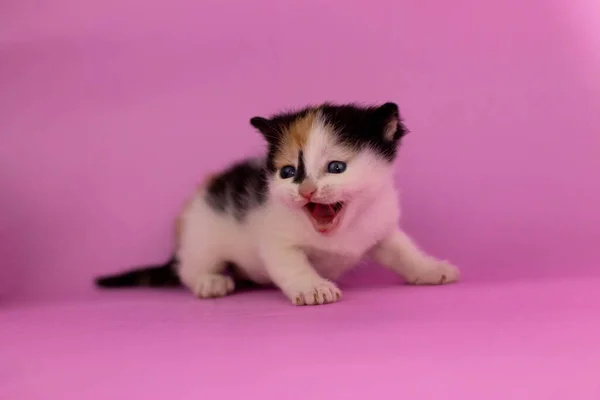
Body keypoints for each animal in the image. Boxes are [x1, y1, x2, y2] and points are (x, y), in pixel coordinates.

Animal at [95, 101, 460, 304]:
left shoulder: (380, 224)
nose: (307, 191)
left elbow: (402, 250)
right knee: (190, 265)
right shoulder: (274, 238)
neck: (339, 233)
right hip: (202, 231)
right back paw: (208, 280)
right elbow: (291, 262)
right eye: (288, 172)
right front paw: (313, 288)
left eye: (336, 167)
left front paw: (430, 269)